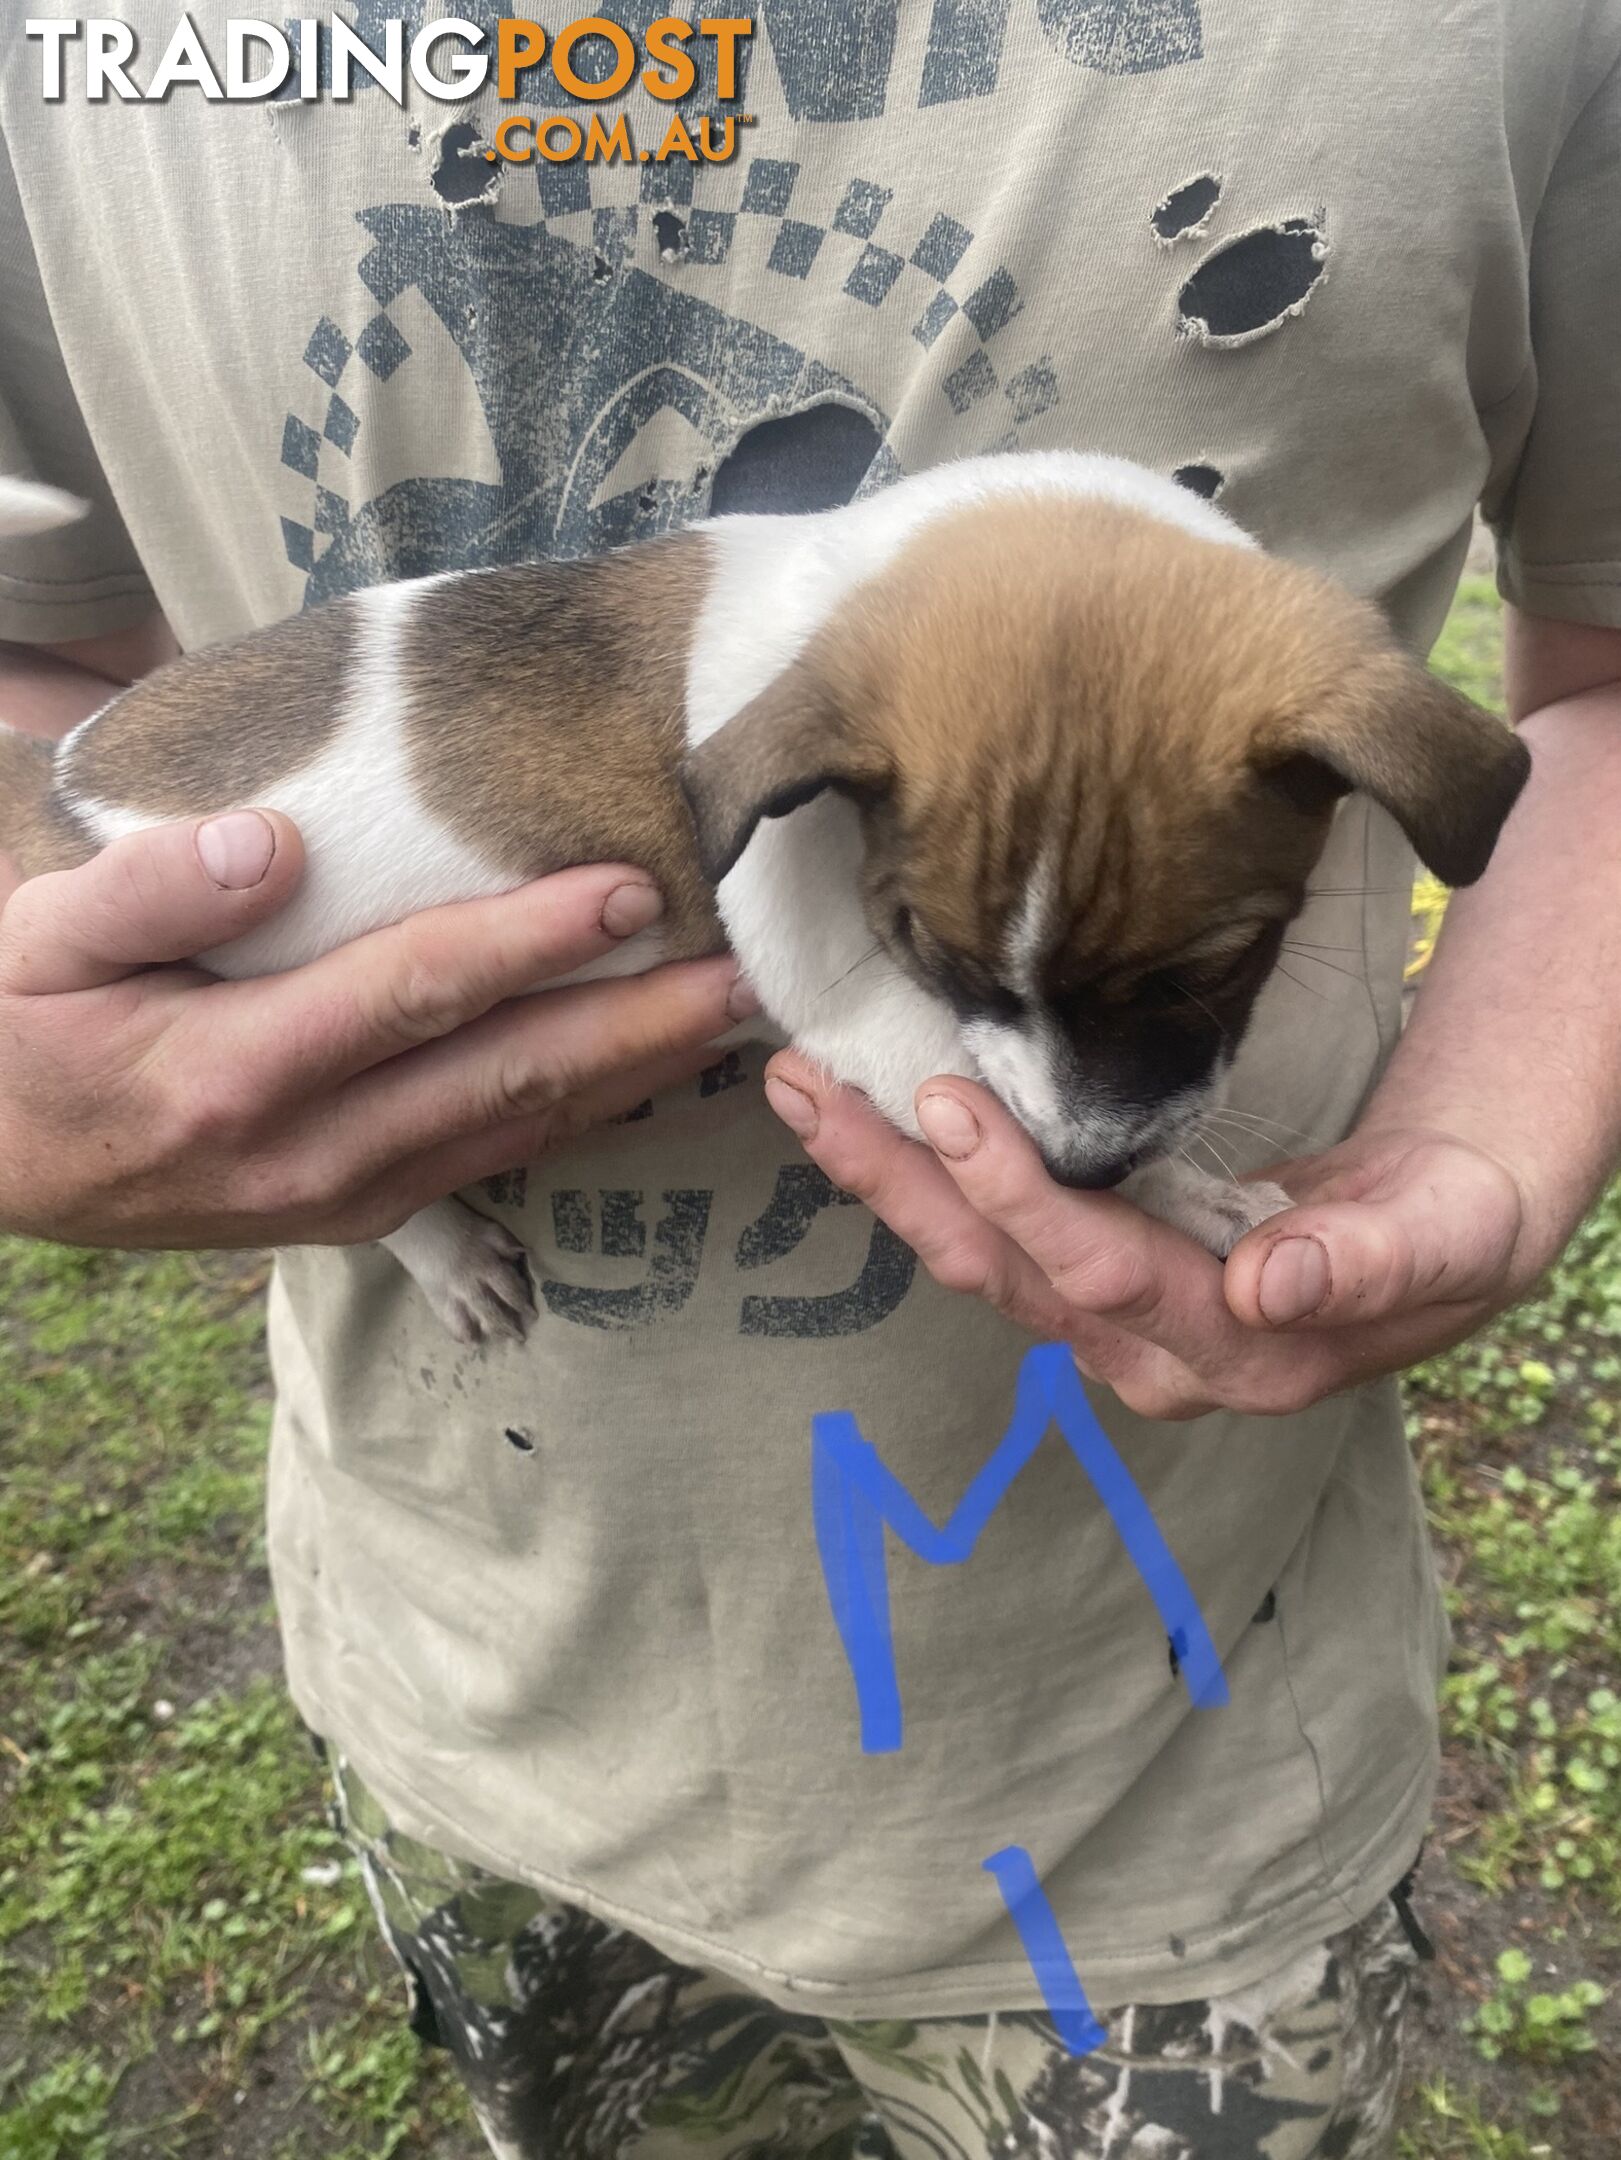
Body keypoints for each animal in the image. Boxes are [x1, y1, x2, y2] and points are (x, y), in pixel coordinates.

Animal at [0, 451, 1538, 1330]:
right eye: (935, 963)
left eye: (1211, 969)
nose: (1079, 1177)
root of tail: (54, 788)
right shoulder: (868, 1014)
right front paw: (1186, 1200)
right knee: (364, 1198)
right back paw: (443, 1255)